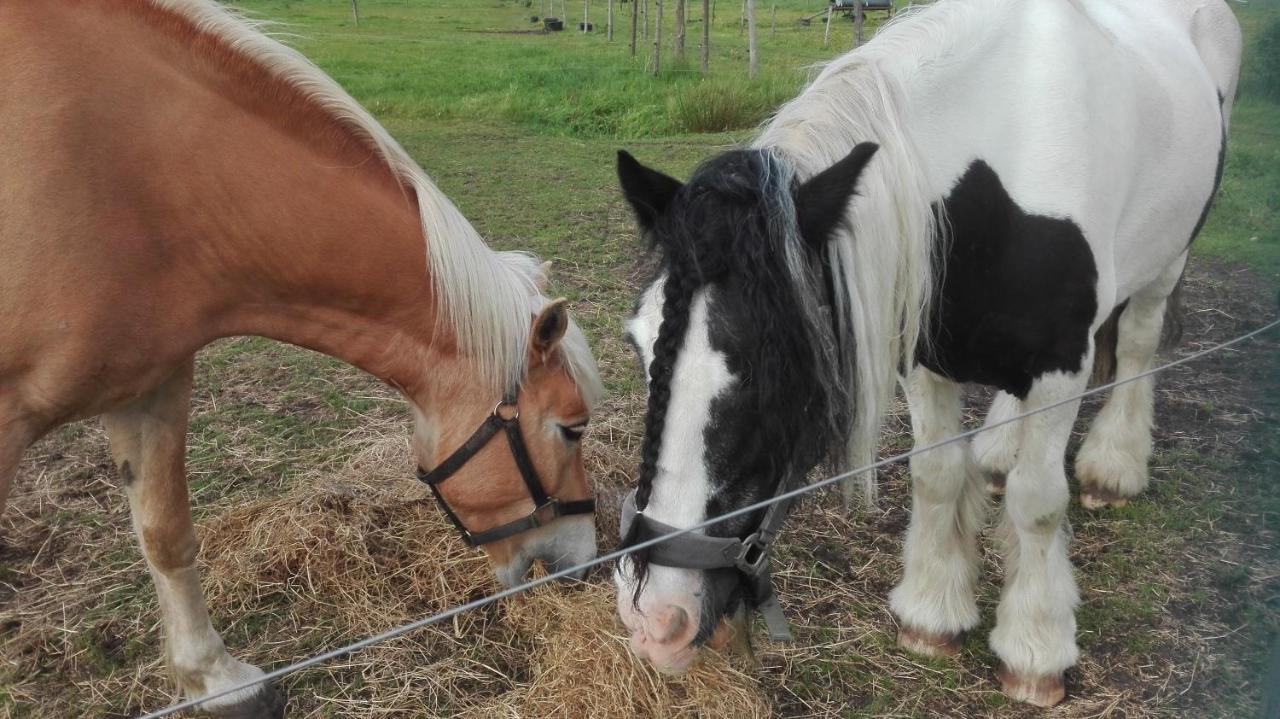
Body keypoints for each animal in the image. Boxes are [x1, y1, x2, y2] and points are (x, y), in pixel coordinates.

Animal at [614, 0, 1233, 706]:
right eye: (639, 344)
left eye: (770, 368)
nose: (653, 618)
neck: (995, 178)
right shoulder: (926, 355)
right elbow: (935, 475)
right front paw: (933, 614)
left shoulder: (1061, 367)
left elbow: (1038, 502)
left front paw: (1036, 649)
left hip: (1166, 261)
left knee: (1136, 347)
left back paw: (1114, 467)